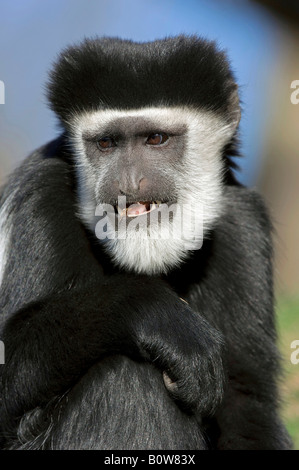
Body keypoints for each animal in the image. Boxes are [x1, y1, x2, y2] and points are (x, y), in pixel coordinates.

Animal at [0, 35, 292, 448]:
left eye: (155, 139)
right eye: (107, 143)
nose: (127, 182)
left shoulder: (243, 223)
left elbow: (247, 400)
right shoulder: (40, 198)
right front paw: (164, 320)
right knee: (126, 379)